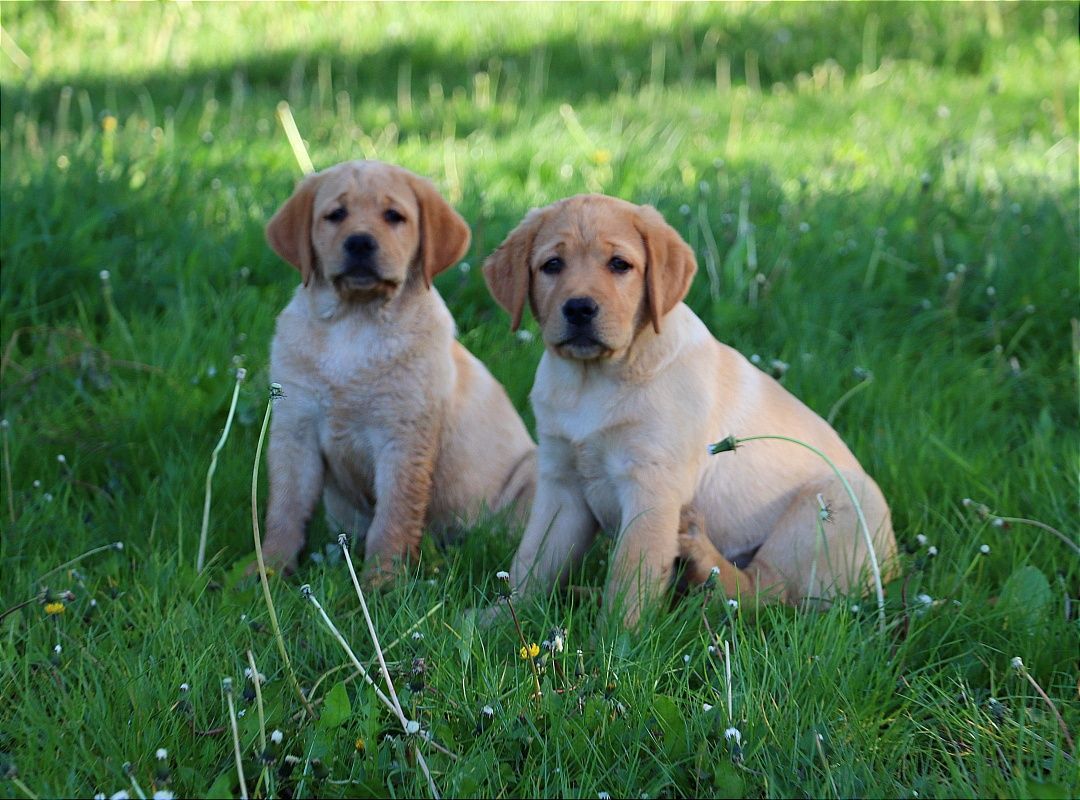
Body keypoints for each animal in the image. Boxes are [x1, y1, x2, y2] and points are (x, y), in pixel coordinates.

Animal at [258, 158, 535, 578]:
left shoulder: (403, 440)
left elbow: (393, 518)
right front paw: (267, 572)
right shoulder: (296, 429)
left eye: (394, 216)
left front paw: (382, 582)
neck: (355, 322)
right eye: (335, 215)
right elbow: (285, 511)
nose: (359, 243)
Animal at [486, 192, 898, 626]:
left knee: (766, 594)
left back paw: (700, 558)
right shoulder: (562, 484)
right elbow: (532, 562)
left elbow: (629, 582)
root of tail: (893, 565)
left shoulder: (652, 488)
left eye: (619, 264)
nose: (579, 308)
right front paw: (496, 618)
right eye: (552, 265)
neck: (592, 379)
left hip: (833, 504)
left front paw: (615, 639)